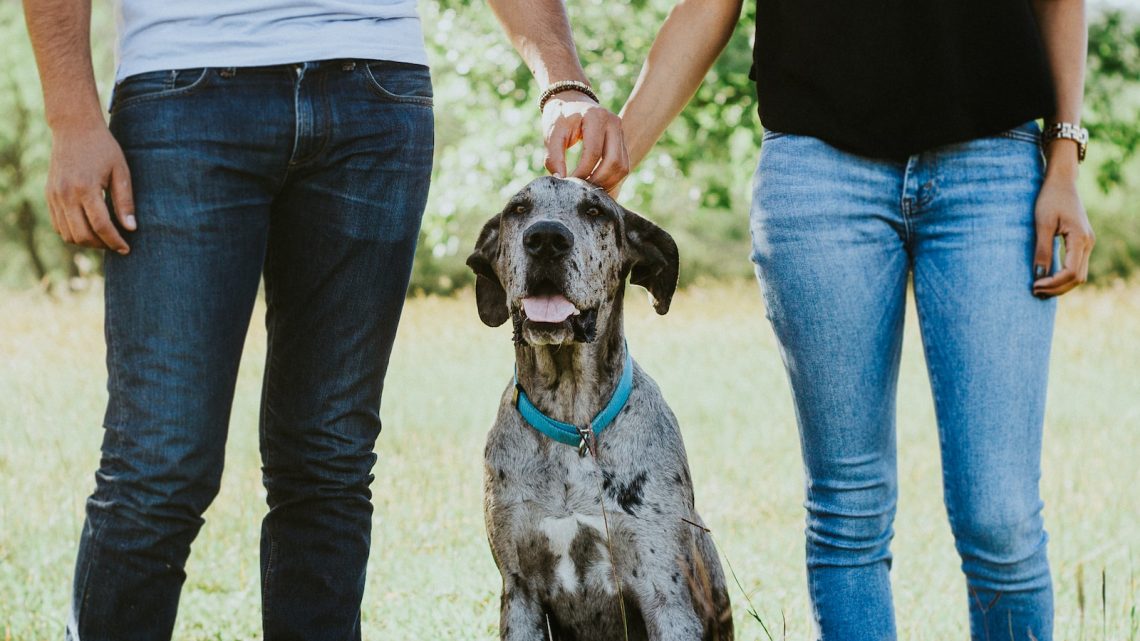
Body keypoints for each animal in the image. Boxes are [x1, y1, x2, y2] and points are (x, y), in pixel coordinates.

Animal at [467, 175, 734, 638]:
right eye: (518, 209)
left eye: (595, 211)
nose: (546, 239)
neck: (573, 423)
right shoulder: (519, 593)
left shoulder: (667, 594)